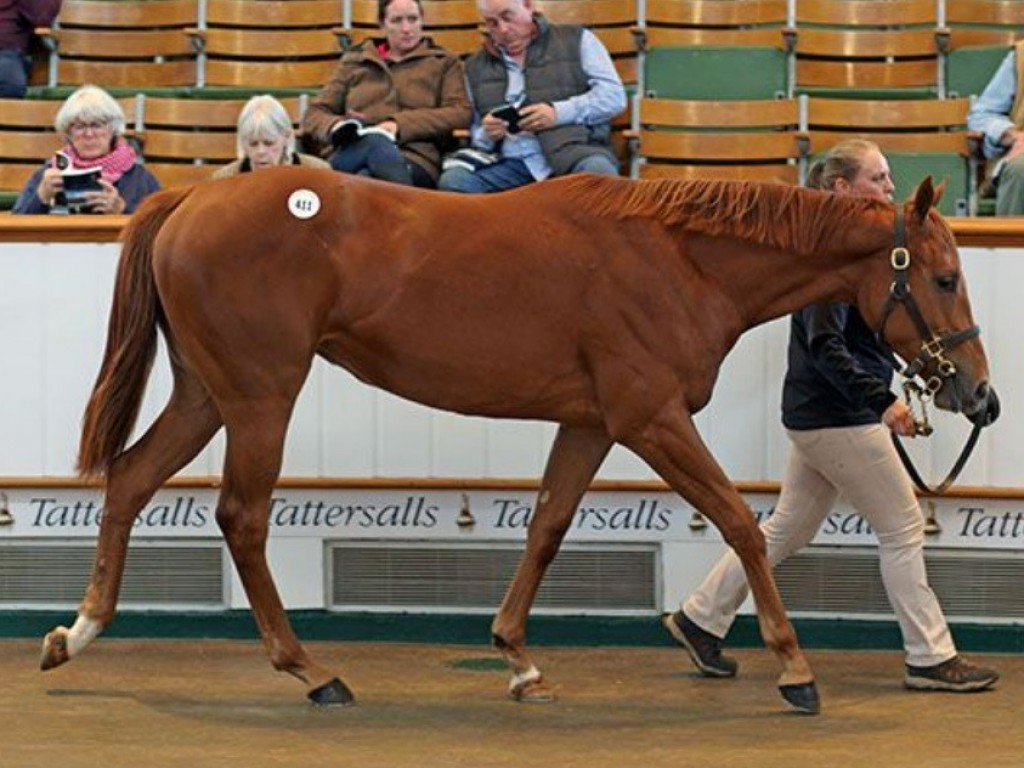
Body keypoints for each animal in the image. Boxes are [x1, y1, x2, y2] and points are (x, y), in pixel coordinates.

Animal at [41, 167, 991, 716]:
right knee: (240, 517)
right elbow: (740, 524)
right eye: (945, 277)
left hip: (208, 394)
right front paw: (795, 670)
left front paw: (517, 658)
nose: (979, 395)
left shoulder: (591, 424)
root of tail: (193, 198)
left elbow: (546, 528)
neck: (679, 258)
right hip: (260, 398)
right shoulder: (651, 418)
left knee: (129, 480)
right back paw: (310, 670)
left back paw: (76, 635)